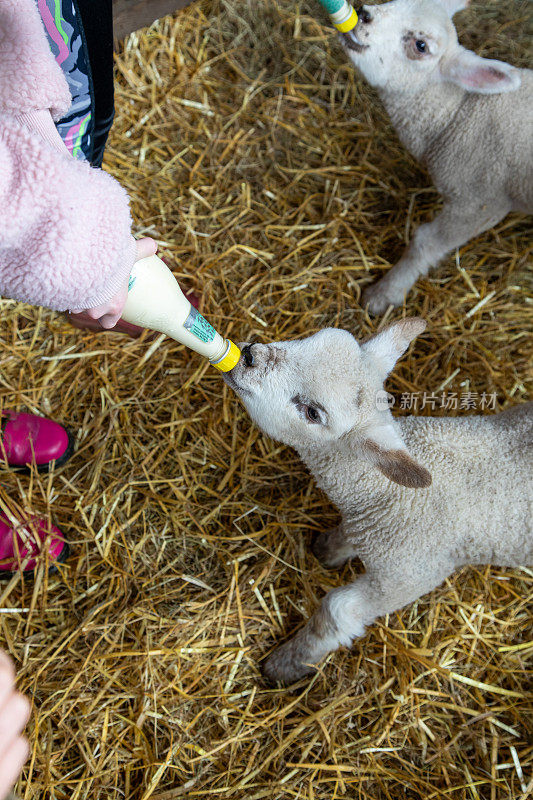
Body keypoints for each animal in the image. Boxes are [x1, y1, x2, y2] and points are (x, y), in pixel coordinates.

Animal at [222, 322, 528, 684]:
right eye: (309, 339)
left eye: (312, 412)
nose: (250, 355)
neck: (388, 494)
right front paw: (328, 550)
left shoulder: (410, 574)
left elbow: (338, 611)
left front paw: (286, 664)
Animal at [336, 0, 532, 314]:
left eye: (421, 46)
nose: (364, 14)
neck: (457, 114)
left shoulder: (480, 203)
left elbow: (424, 242)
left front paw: (383, 295)